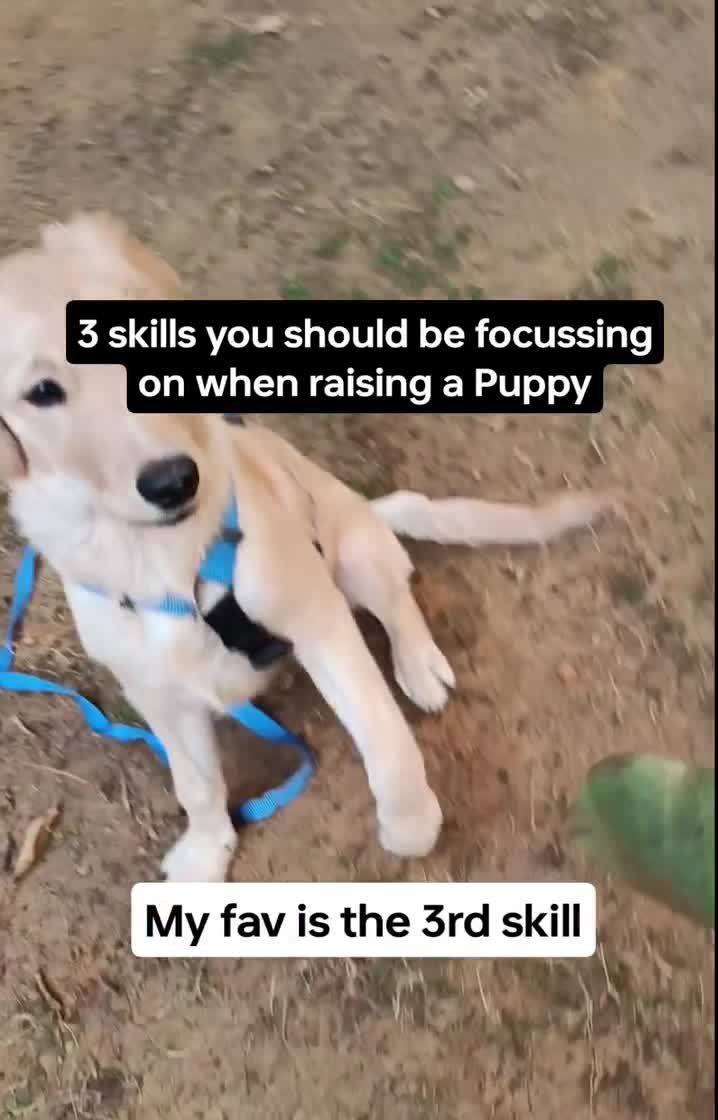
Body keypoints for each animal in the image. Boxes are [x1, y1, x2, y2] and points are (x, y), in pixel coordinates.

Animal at [0, 213, 618, 881]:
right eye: (42, 392)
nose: (175, 481)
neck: (167, 562)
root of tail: (370, 510)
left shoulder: (320, 623)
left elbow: (385, 734)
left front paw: (411, 824)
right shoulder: (156, 693)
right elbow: (196, 784)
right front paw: (208, 850)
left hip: (352, 551)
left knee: (398, 600)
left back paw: (419, 665)